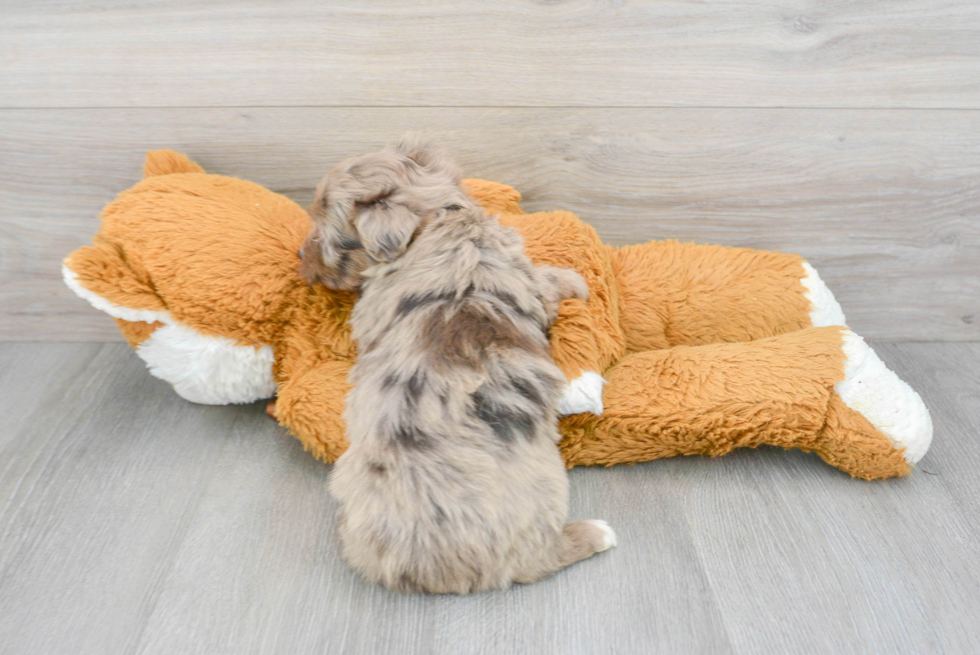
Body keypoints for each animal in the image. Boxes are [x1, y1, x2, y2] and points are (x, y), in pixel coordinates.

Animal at [298, 138, 616, 596]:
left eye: (329, 237)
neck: (438, 217)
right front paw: (578, 282)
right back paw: (597, 533)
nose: (299, 259)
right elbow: (548, 281)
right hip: (544, 495)